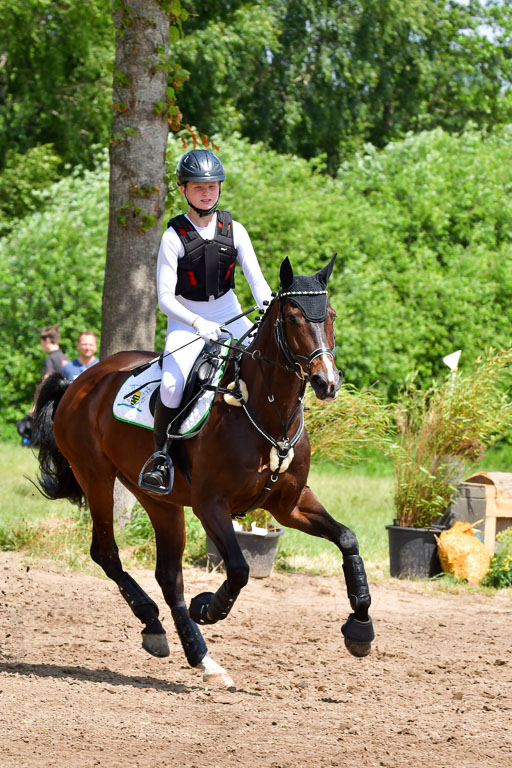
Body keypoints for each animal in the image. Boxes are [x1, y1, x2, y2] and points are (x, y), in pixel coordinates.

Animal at [33, 255, 375, 688]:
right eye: (293, 317)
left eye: (329, 315)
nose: (326, 382)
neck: (266, 410)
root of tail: (78, 382)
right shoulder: (211, 505)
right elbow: (240, 569)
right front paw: (208, 608)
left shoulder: (290, 505)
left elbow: (347, 539)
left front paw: (360, 629)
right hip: (95, 477)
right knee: (107, 553)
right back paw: (164, 628)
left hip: (157, 499)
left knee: (168, 576)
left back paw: (193, 652)